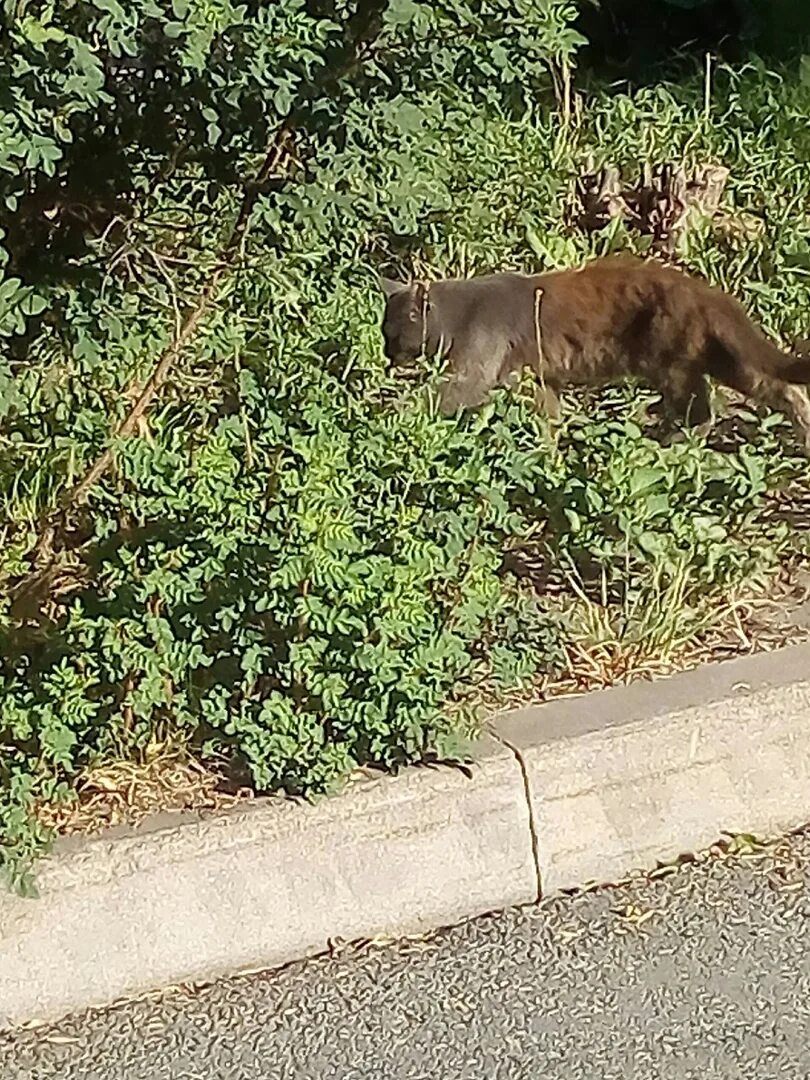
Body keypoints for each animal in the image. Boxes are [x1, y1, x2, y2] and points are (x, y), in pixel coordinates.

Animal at [380, 254, 810, 449]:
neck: (459, 313)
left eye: (393, 334)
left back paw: (669, 443)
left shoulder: (475, 371)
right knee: (781, 386)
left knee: (703, 411)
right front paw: (549, 452)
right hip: (723, 358)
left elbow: (440, 396)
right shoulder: (539, 379)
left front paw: (390, 414)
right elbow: (550, 417)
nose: (385, 355)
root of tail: (707, 292)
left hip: (671, 365)